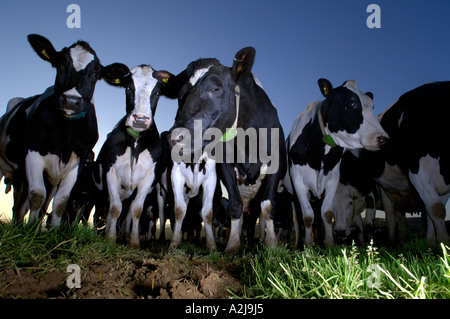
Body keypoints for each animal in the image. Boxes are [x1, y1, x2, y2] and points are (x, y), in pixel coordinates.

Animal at [0, 34, 112, 228]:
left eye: (95, 74)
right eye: (60, 65)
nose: (71, 101)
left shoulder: (77, 161)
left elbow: (60, 202)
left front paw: (51, 230)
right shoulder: (33, 152)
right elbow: (37, 195)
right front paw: (31, 230)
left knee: (24, 204)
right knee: (24, 202)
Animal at [96, 63, 171, 249]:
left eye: (157, 93)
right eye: (128, 88)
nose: (140, 119)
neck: (136, 144)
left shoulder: (149, 177)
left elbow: (136, 210)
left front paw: (134, 241)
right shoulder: (110, 172)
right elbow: (115, 208)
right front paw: (110, 238)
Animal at [167, 47, 286, 252]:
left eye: (214, 89)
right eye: (180, 95)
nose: (174, 138)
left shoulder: (275, 165)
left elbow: (269, 206)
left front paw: (271, 244)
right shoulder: (225, 166)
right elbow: (235, 205)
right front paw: (232, 246)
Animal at [286, 79, 388, 248]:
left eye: (372, 106)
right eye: (350, 102)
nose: (383, 138)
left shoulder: (333, 179)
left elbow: (326, 214)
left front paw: (329, 244)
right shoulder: (298, 180)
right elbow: (307, 216)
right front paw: (308, 246)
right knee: (297, 220)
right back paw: (299, 243)